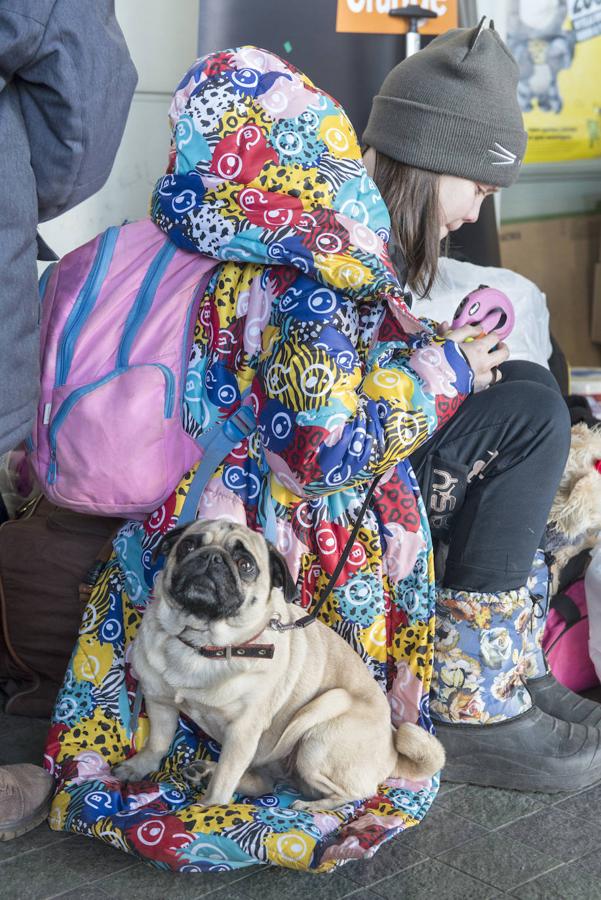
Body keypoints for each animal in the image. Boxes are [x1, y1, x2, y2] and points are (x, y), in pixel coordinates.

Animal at [112, 520, 442, 808]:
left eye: (245, 565)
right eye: (188, 546)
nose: (212, 557)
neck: (203, 645)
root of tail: (391, 752)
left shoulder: (242, 732)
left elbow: (224, 781)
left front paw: (206, 808)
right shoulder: (160, 701)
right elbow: (157, 743)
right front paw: (138, 766)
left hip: (318, 733)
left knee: (353, 793)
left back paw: (310, 806)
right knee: (263, 782)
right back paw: (204, 770)